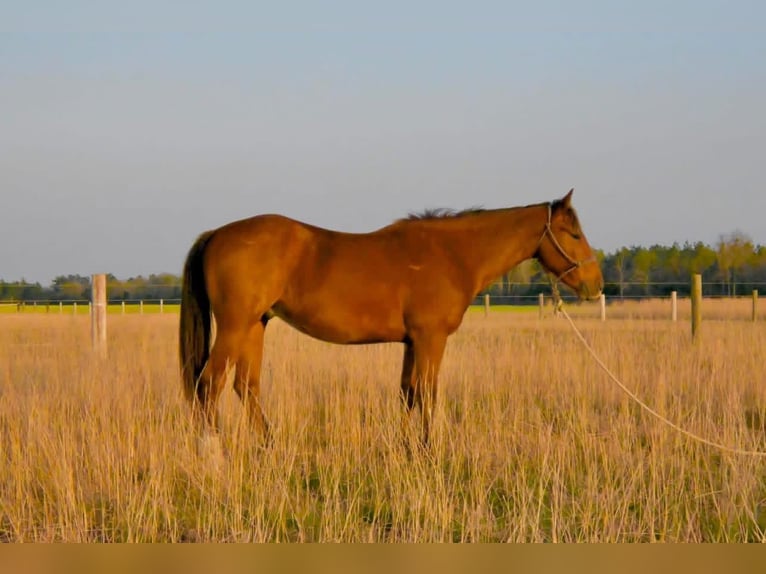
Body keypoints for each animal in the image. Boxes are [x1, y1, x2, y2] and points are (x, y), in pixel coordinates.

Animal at [179, 188, 603, 448]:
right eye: (573, 233)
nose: (595, 285)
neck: (451, 253)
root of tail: (217, 234)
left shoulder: (413, 341)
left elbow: (408, 392)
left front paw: (405, 448)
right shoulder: (431, 338)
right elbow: (427, 393)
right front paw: (430, 451)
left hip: (256, 325)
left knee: (245, 387)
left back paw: (268, 445)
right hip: (235, 327)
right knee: (209, 383)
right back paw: (214, 452)